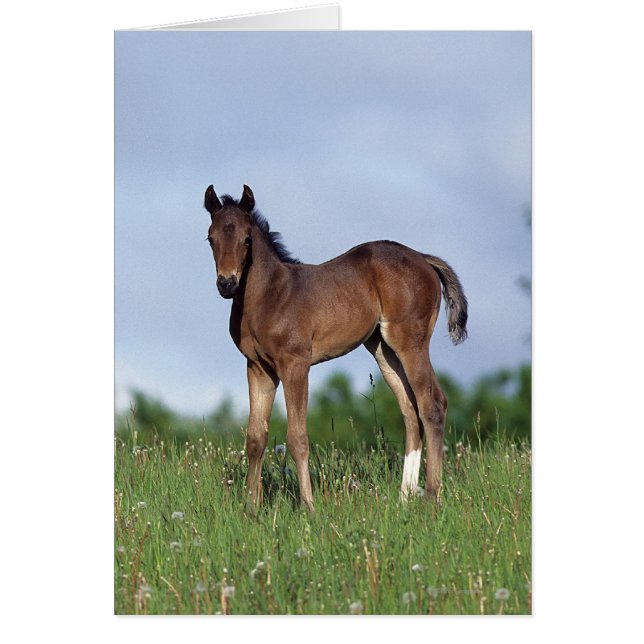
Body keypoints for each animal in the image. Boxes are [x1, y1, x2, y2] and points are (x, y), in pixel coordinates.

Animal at [204, 184, 468, 512]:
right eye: (210, 238)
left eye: (247, 239)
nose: (226, 284)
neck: (270, 295)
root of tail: (423, 257)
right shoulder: (258, 368)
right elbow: (255, 438)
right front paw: (251, 509)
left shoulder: (295, 364)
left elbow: (297, 437)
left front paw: (308, 507)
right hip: (383, 349)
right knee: (410, 411)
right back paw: (403, 498)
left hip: (411, 341)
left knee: (432, 405)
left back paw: (431, 496)